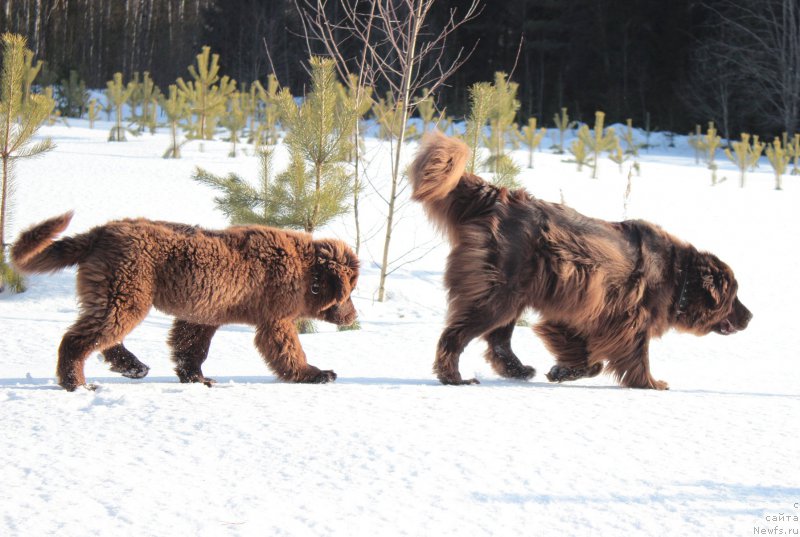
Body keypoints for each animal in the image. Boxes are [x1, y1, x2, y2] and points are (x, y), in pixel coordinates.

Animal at [10, 211, 356, 392]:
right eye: (351, 290)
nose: (353, 318)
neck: (307, 271)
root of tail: (99, 232)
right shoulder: (275, 319)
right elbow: (289, 350)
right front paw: (315, 374)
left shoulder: (203, 315)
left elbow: (191, 348)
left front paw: (196, 379)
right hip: (126, 293)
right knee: (77, 339)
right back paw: (78, 385)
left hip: (114, 296)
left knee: (102, 338)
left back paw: (132, 366)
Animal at [410, 132, 752, 388]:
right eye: (734, 297)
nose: (750, 316)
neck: (679, 276)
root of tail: (498, 197)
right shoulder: (629, 319)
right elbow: (634, 356)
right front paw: (652, 384)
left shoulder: (582, 311)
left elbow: (587, 355)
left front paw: (562, 371)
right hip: (498, 291)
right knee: (457, 334)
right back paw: (454, 377)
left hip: (514, 294)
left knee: (499, 341)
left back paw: (519, 371)